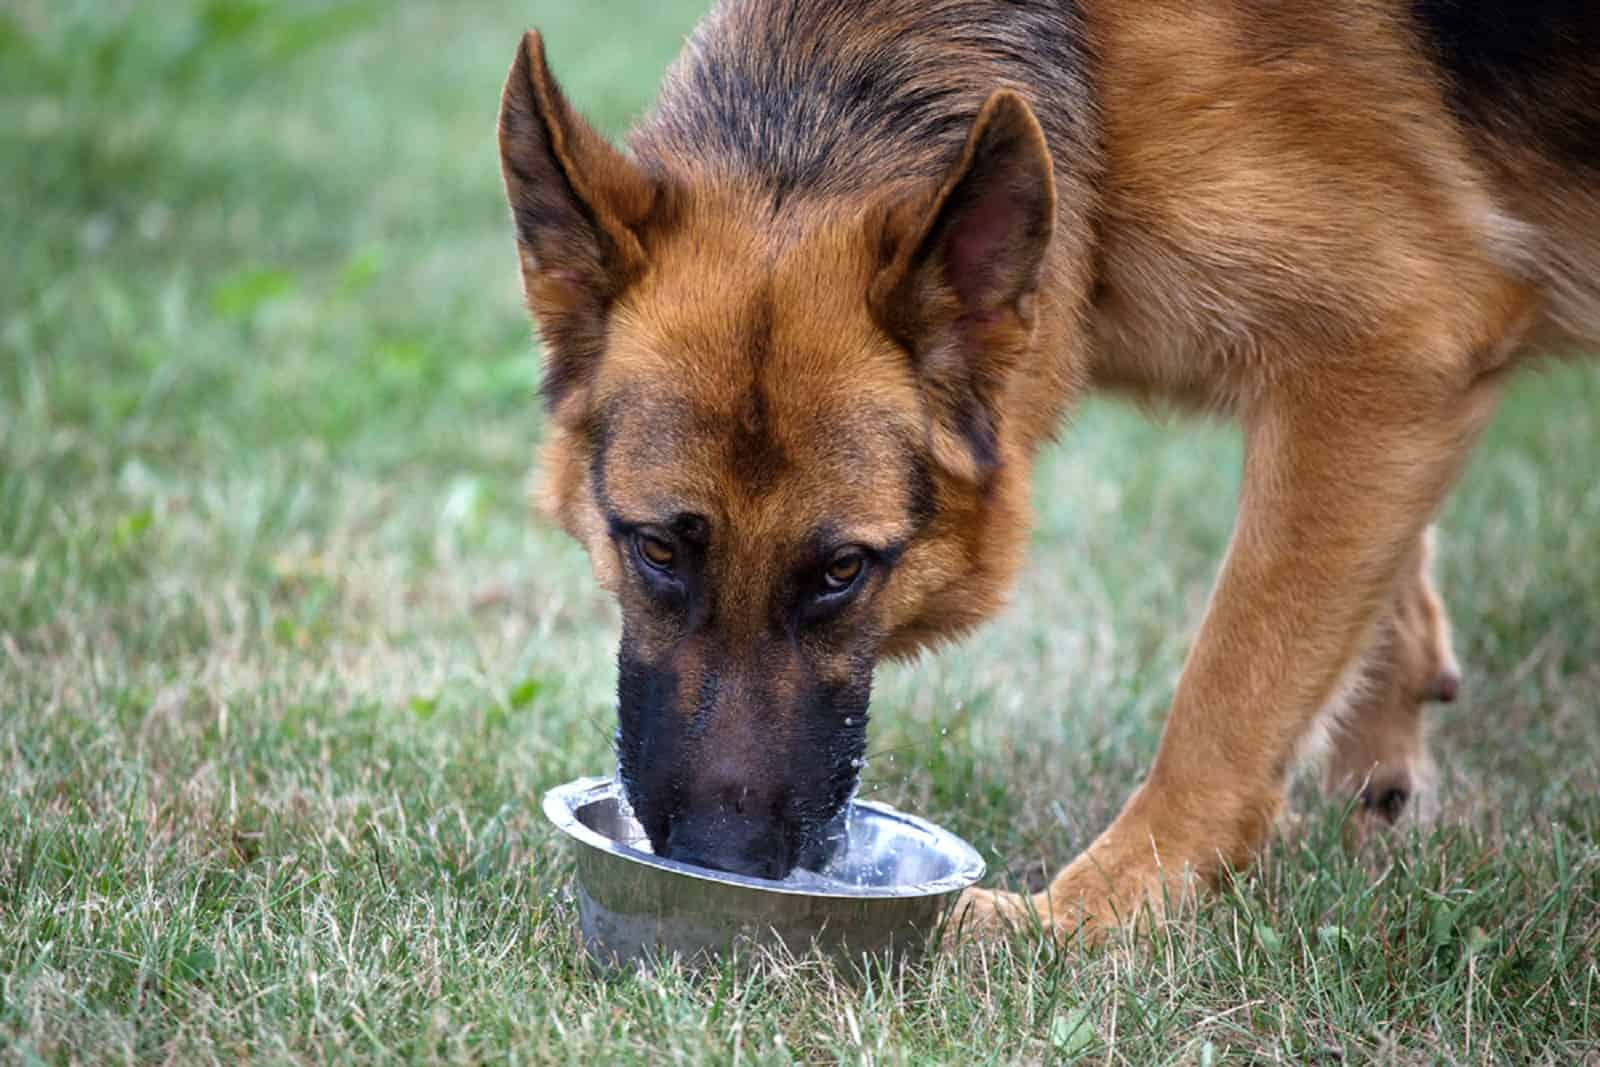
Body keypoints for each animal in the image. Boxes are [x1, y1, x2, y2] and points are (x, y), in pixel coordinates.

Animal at [492, 0, 1593, 934]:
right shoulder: (1383, 397)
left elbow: (1231, 690)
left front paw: (1089, 919)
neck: (1100, 70)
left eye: (843, 570)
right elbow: (1358, 593)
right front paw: (1383, 741)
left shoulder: (1392, 348)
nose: (722, 861)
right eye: (655, 549)